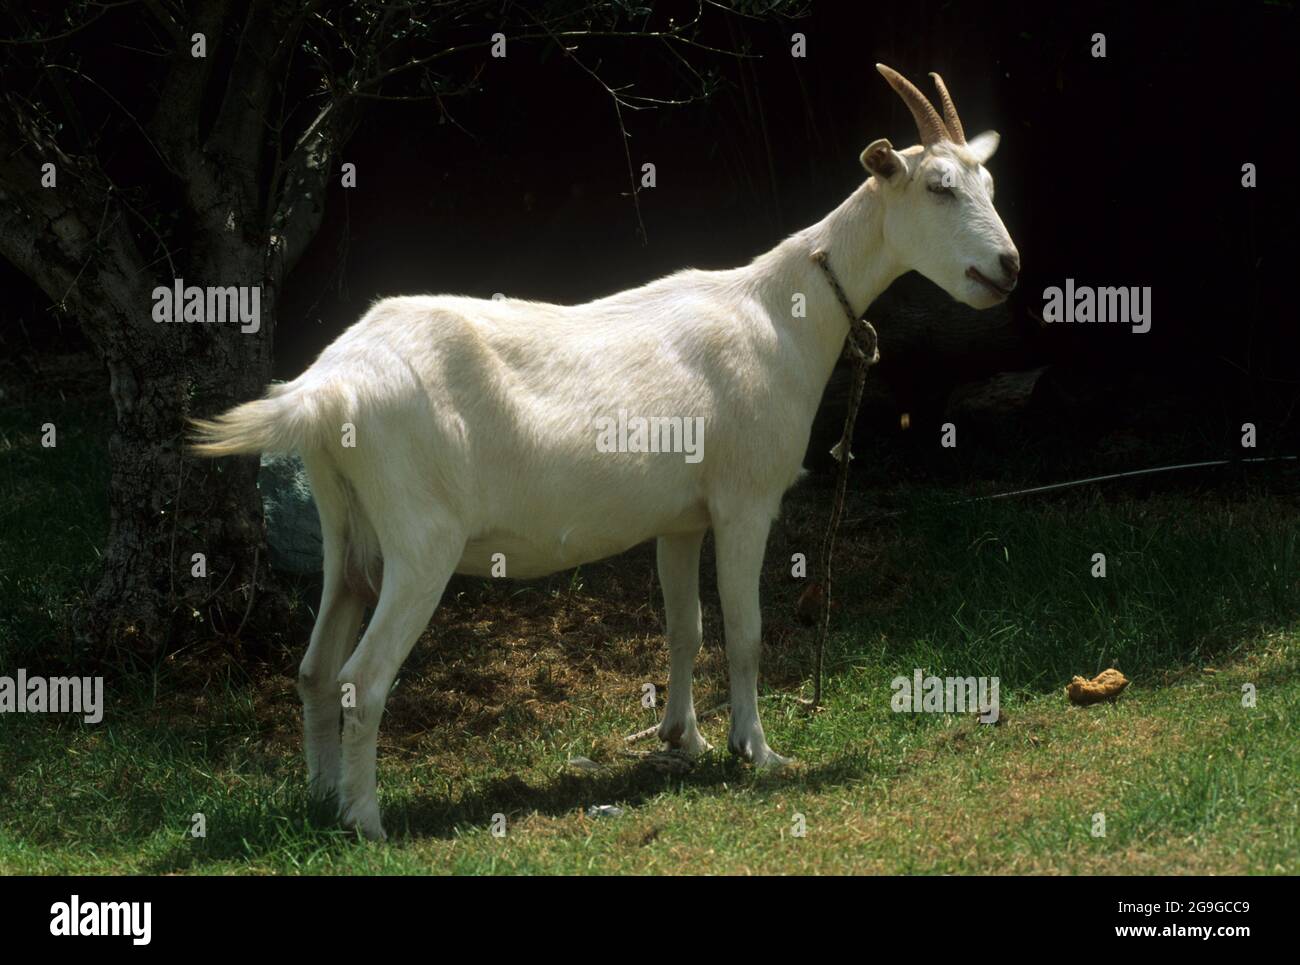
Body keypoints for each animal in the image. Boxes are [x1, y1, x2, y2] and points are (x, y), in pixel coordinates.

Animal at [195, 64, 1024, 842]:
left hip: (348, 533)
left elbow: (687, 627)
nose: (1008, 267)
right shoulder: (745, 499)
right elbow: (746, 631)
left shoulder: (681, 518)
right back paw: (366, 821)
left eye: (986, 181)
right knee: (361, 679)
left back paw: (320, 800)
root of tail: (327, 385)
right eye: (940, 187)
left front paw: (684, 739)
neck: (781, 312)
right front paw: (758, 751)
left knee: (313, 669)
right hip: (420, 542)